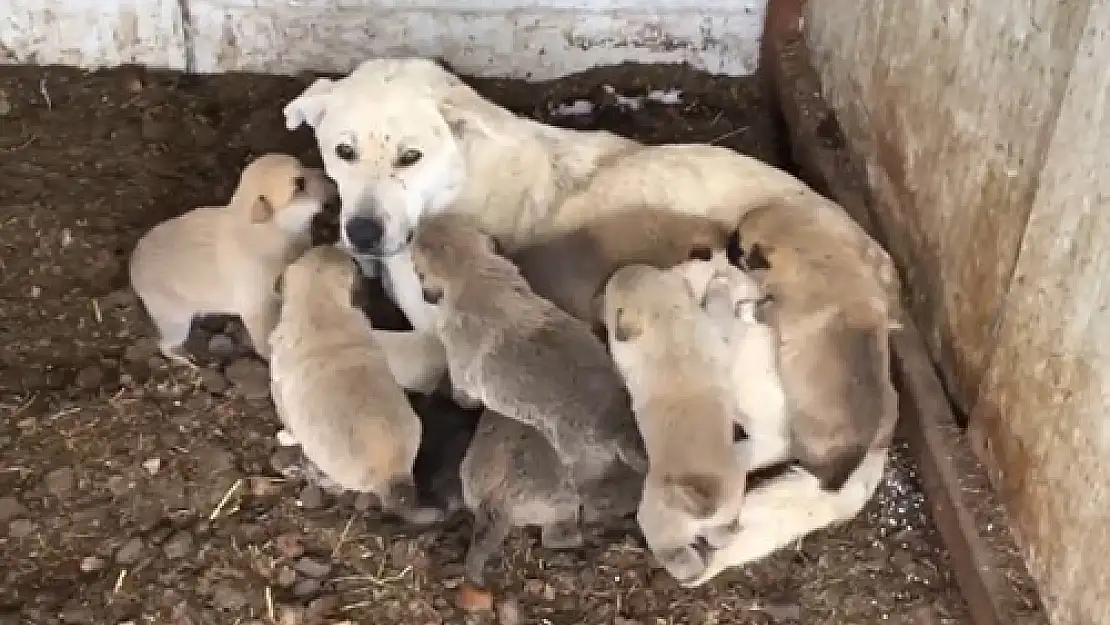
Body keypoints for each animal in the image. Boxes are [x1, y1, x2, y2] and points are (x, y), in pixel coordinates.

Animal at [127, 153, 333, 364]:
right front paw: (270, 356)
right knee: (164, 345)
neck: (270, 229)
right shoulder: (255, 307)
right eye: (299, 184)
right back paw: (183, 358)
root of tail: (134, 261)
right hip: (176, 319)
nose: (329, 176)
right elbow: (264, 339)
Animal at [412, 213, 648, 490]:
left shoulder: (462, 370)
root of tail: (618, 423)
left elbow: (462, 391)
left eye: (416, 270)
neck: (469, 270)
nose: (414, 229)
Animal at [599, 264, 745, 586]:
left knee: (672, 551)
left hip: (655, 521)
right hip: (729, 504)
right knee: (718, 535)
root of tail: (700, 502)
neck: (663, 319)